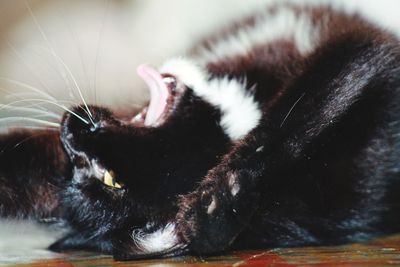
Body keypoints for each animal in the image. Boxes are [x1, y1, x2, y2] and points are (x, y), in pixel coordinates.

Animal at [0, 2, 400, 262]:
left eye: (112, 180)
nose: (73, 135)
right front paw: (219, 202)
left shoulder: (352, 51)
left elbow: (288, 122)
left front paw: (215, 201)